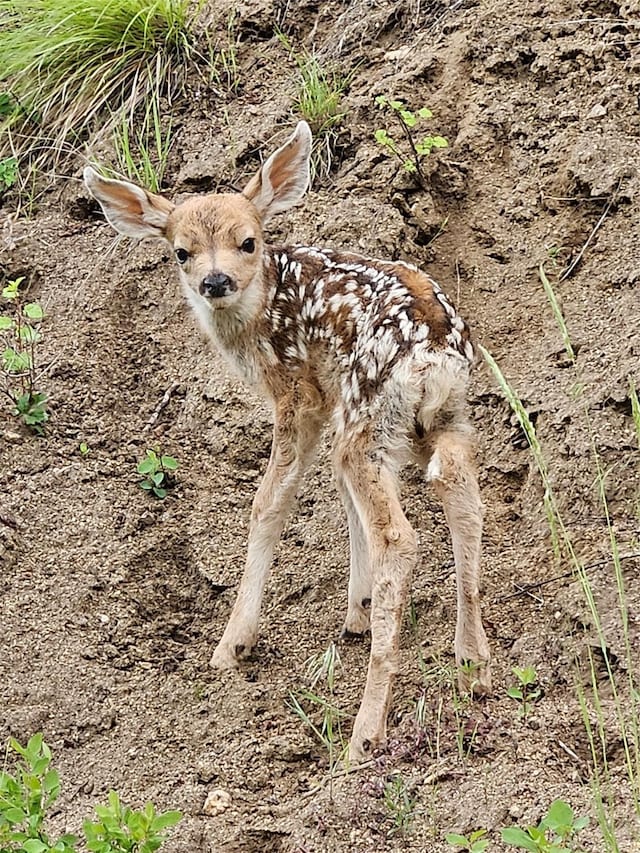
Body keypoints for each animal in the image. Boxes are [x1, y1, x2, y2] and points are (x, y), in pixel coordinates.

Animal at [81, 118, 490, 760]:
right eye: (180, 251)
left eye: (248, 241)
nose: (215, 280)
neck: (255, 314)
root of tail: (433, 351)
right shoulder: (334, 398)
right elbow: (339, 498)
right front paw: (356, 609)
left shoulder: (300, 395)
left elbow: (269, 503)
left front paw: (232, 645)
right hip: (440, 415)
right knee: (463, 495)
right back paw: (474, 662)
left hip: (371, 410)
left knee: (399, 536)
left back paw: (365, 730)